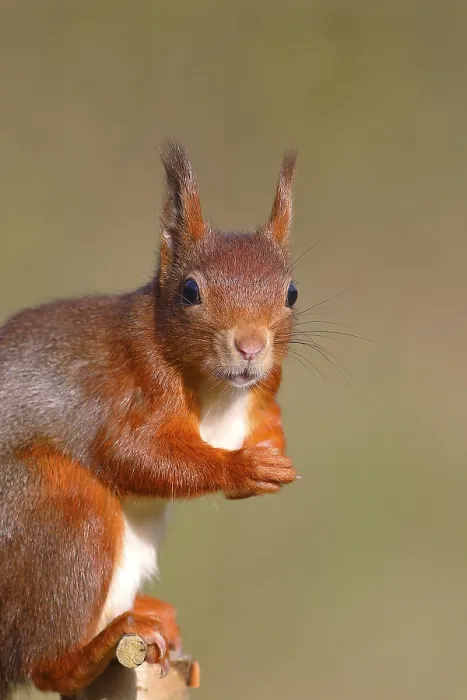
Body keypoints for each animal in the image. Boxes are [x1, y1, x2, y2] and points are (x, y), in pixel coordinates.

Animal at [0, 141, 299, 698]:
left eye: (292, 293)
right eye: (189, 291)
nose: (251, 347)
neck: (221, 391)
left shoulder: (263, 391)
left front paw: (274, 451)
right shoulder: (131, 390)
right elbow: (130, 455)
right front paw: (243, 468)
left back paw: (150, 614)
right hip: (56, 507)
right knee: (39, 662)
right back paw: (95, 645)